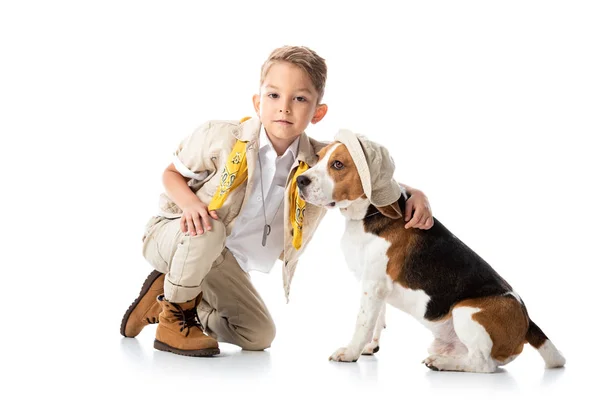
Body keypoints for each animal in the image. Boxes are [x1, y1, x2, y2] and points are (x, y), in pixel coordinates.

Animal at [298, 141, 564, 372]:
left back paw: (441, 363)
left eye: (338, 164)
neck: (368, 214)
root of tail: (527, 321)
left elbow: (362, 323)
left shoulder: (373, 285)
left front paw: (350, 352)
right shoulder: (374, 286)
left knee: (482, 364)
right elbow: (376, 318)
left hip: (466, 312)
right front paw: (369, 347)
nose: (300, 179)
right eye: (318, 158)